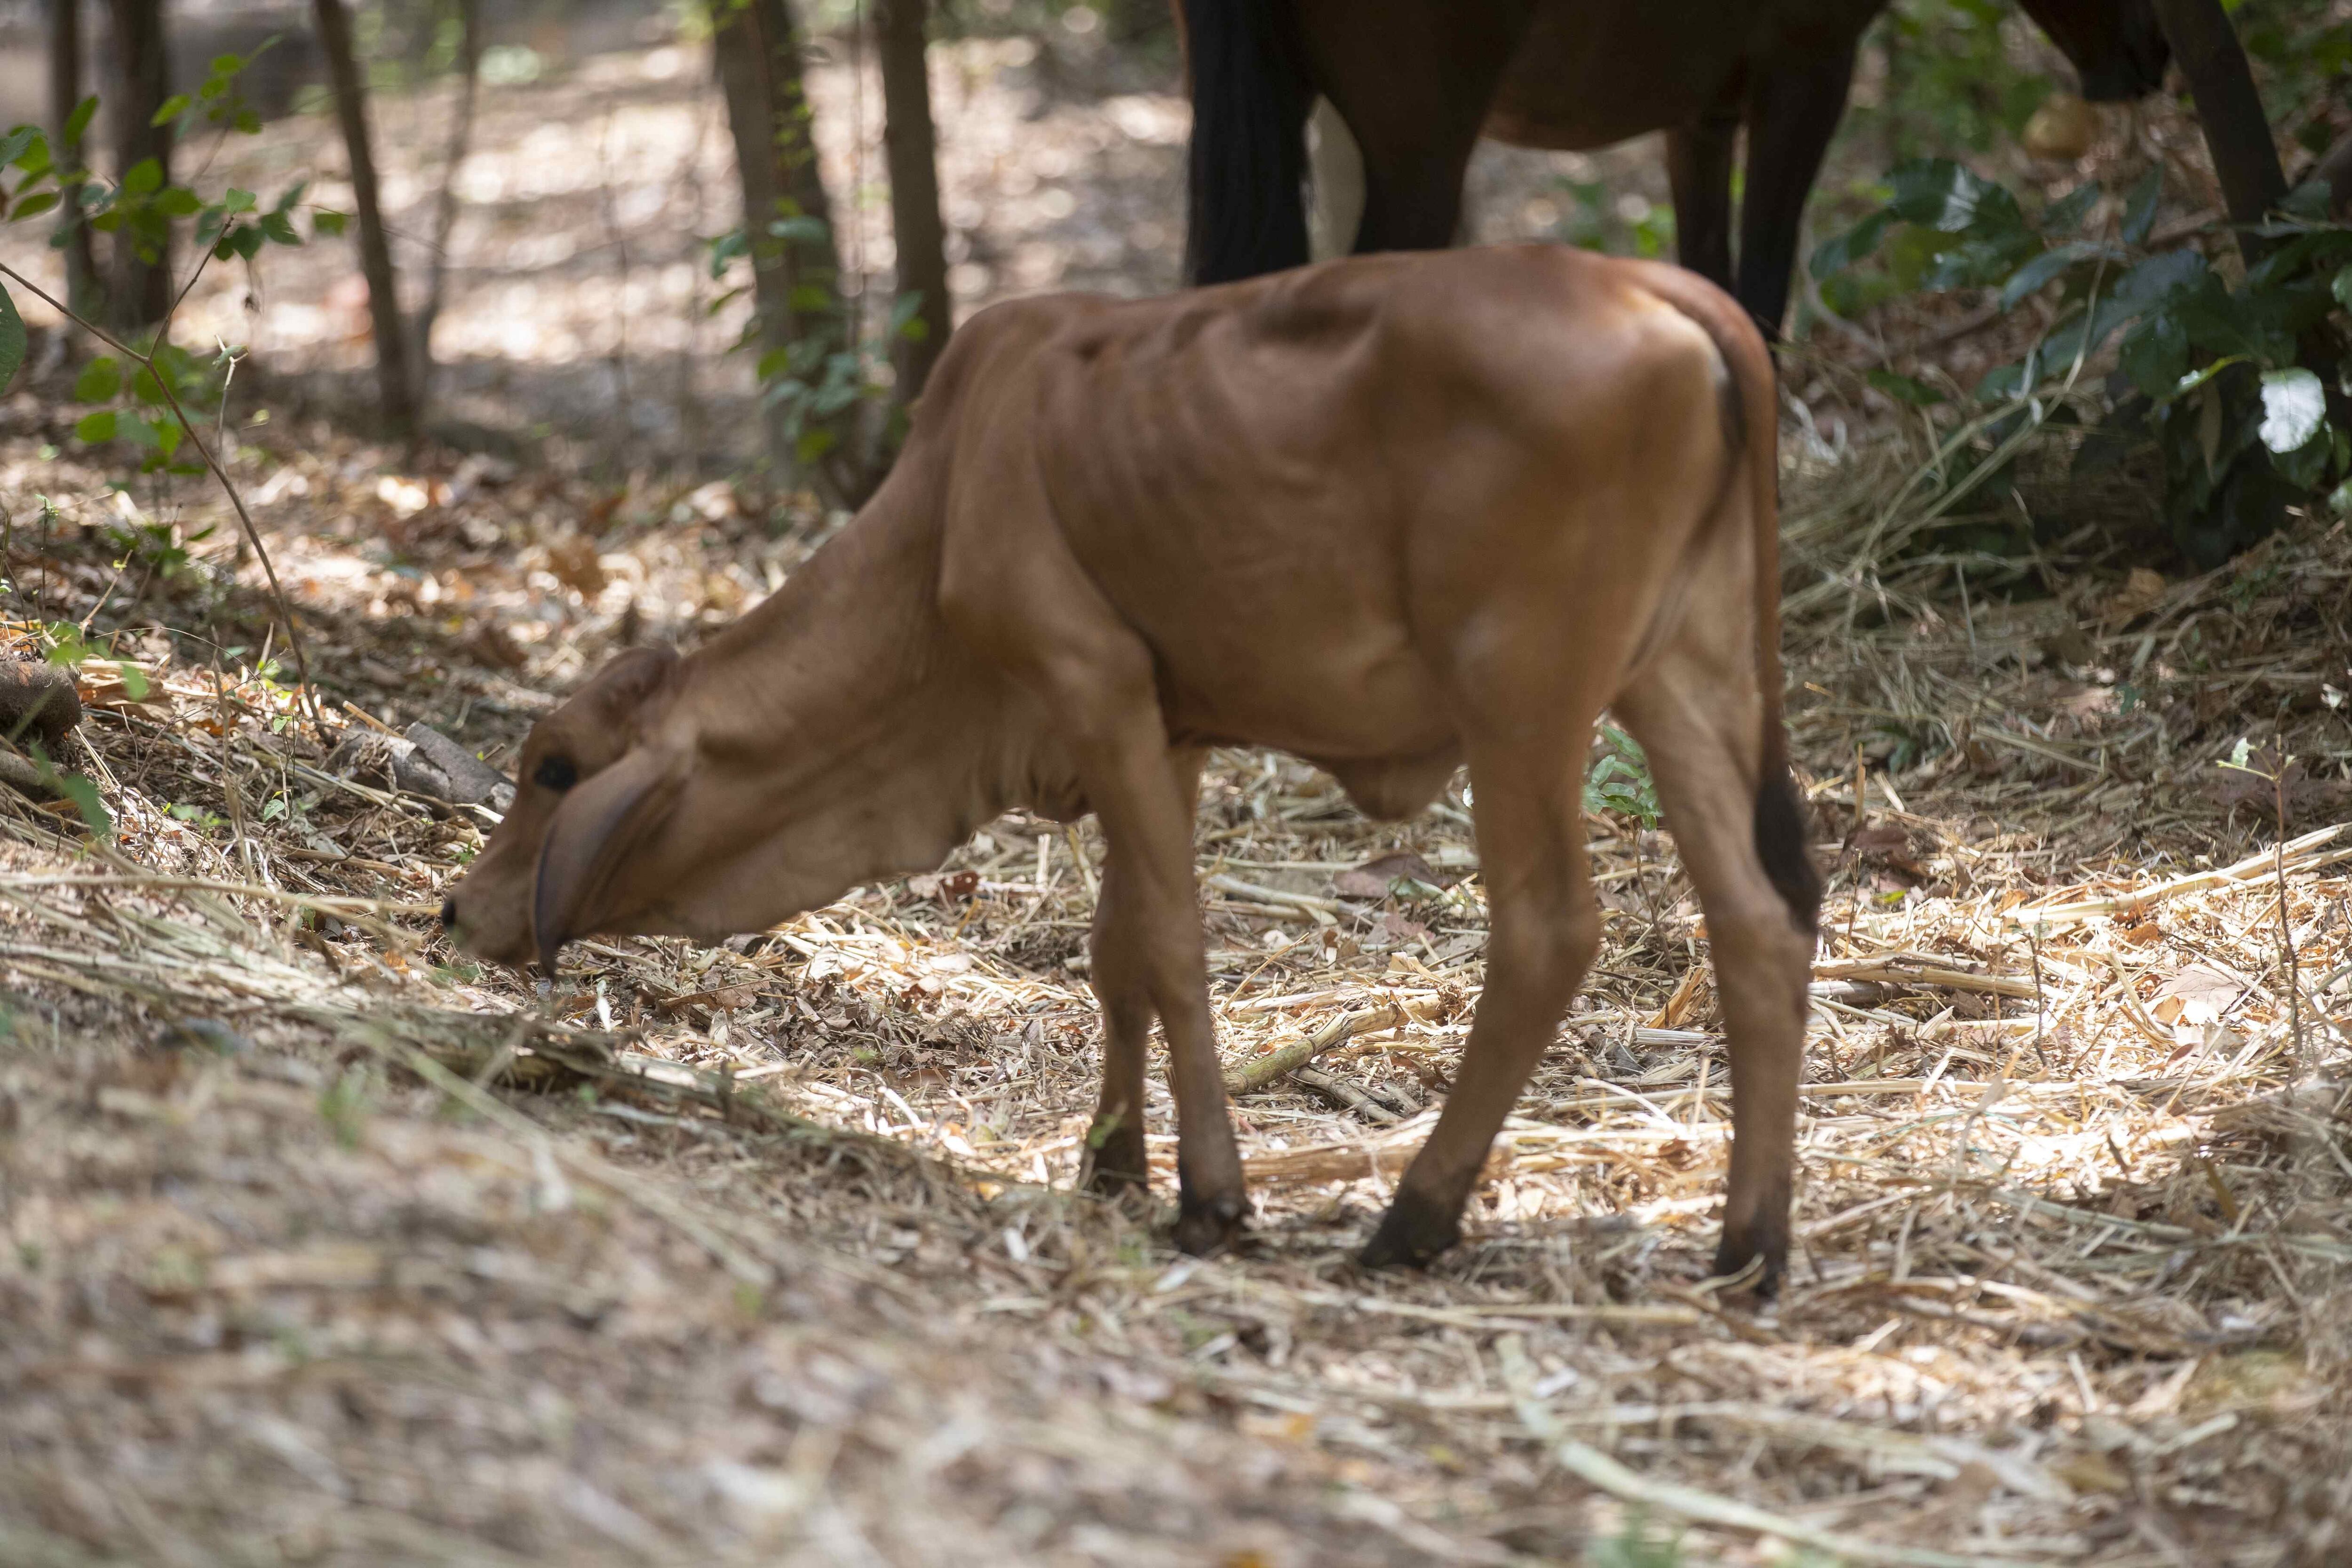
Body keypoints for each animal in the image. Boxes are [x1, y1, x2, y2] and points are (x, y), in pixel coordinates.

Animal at [445, 242, 1835, 1279]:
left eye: (555, 767)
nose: (457, 910)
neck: (943, 511)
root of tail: (1668, 292)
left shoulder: (1093, 683)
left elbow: (1168, 942)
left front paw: (1209, 1197)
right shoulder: (1163, 731)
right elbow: (1117, 948)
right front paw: (1110, 1159)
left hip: (1521, 696)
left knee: (1549, 930)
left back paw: (1413, 1218)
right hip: (1688, 675)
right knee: (1757, 920)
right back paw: (1748, 1246)